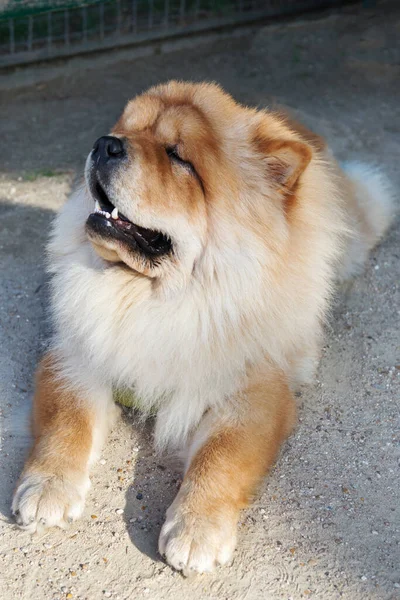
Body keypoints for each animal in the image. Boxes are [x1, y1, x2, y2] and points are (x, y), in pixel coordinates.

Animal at [11, 81, 394, 576]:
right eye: (125, 129)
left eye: (178, 156)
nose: (105, 143)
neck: (154, 297)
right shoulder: (76, 356)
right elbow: (65, 420)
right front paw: (46, 489)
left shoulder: (252, 392)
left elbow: (222, 456)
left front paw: (196, 530)